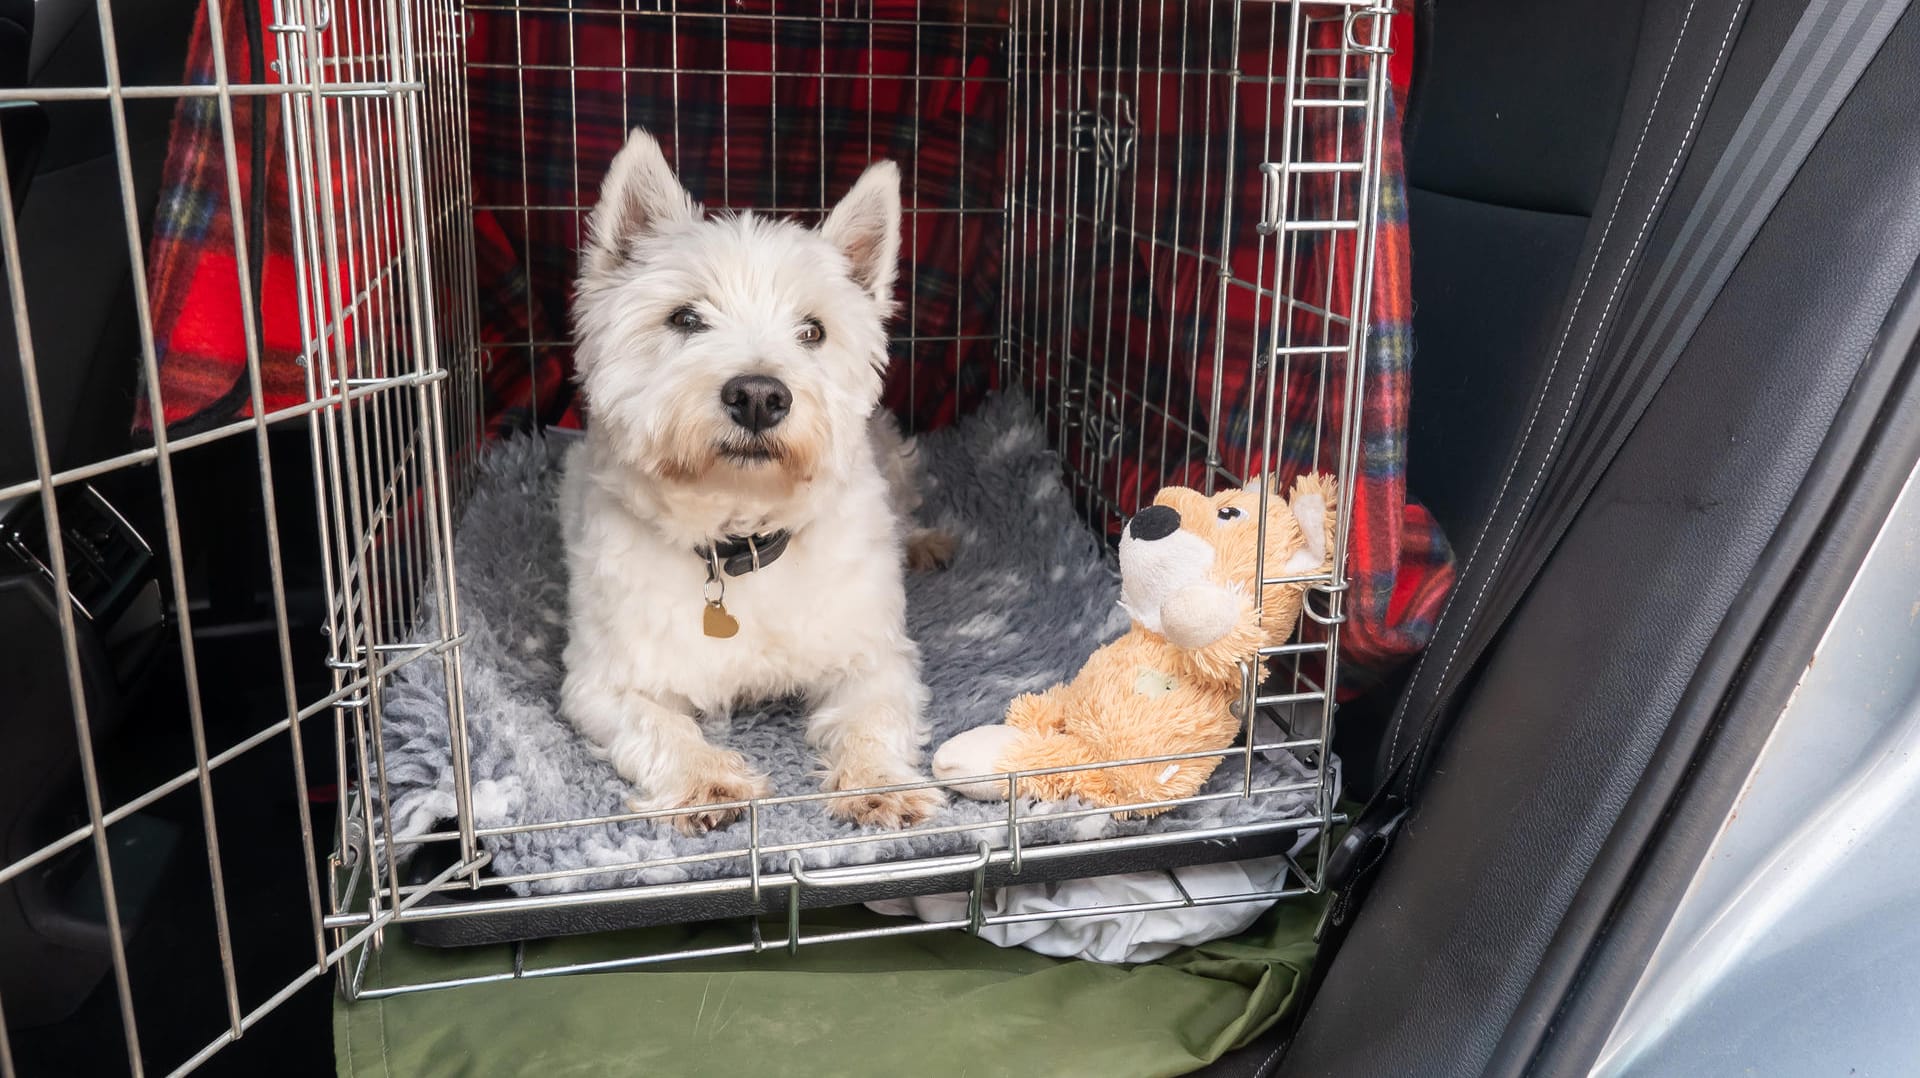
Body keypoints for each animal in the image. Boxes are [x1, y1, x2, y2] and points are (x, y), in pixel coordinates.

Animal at [560, 127, 948, 833]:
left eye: (813, 330)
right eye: (685, 319)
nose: (760, 396)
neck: (738, 534)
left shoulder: (874, 656)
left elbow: (871, 718)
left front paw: (880, 784)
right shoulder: (604, 678)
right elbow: (659, 726)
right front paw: (704, 782)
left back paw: (929, 543)